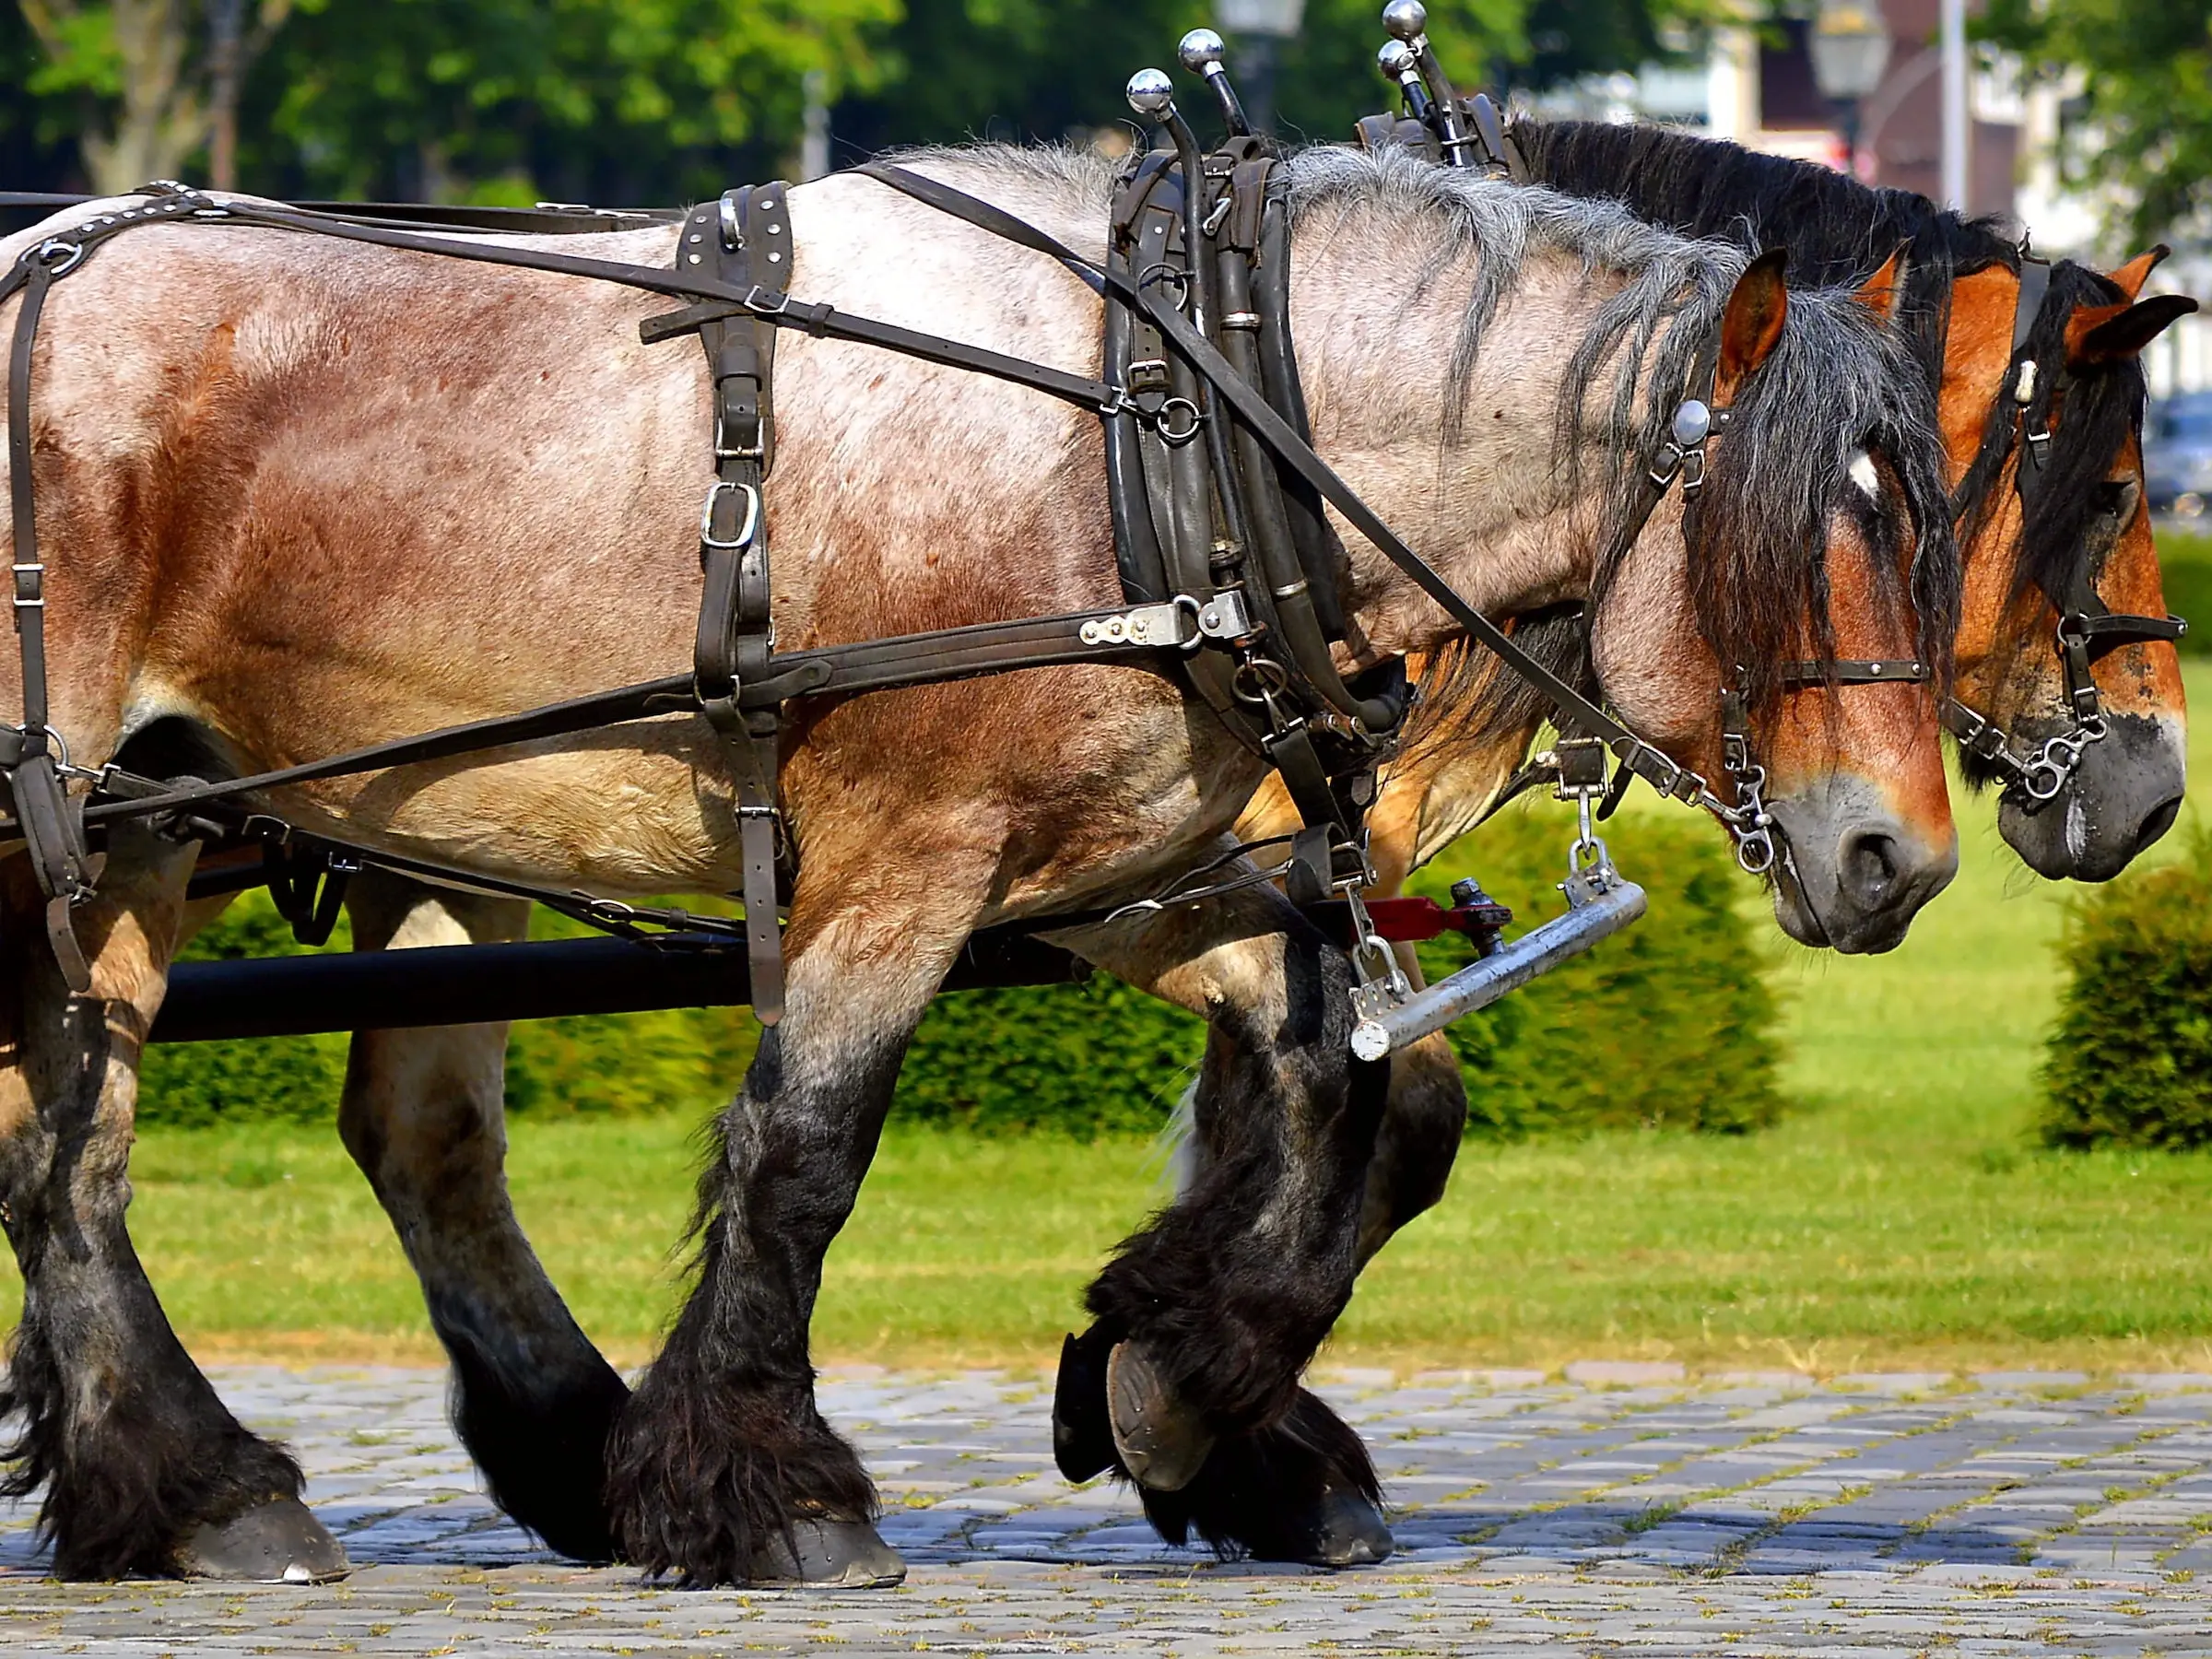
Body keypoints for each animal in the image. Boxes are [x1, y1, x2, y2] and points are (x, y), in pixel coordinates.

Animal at [0, 149, 1955, 1593]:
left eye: (1933, 540)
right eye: (1777, 549)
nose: (1903, 859)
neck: (1156, 430)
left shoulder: (1131, 876)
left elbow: (1372, 1101)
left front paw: (1181, 1388)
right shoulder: (910, 861)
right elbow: (801, 1156)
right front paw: (772, 1491)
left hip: (169, 830)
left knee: (164, 1157)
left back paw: (238, 1483)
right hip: (79, 832)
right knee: (86, 1159)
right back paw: (212, 1486)